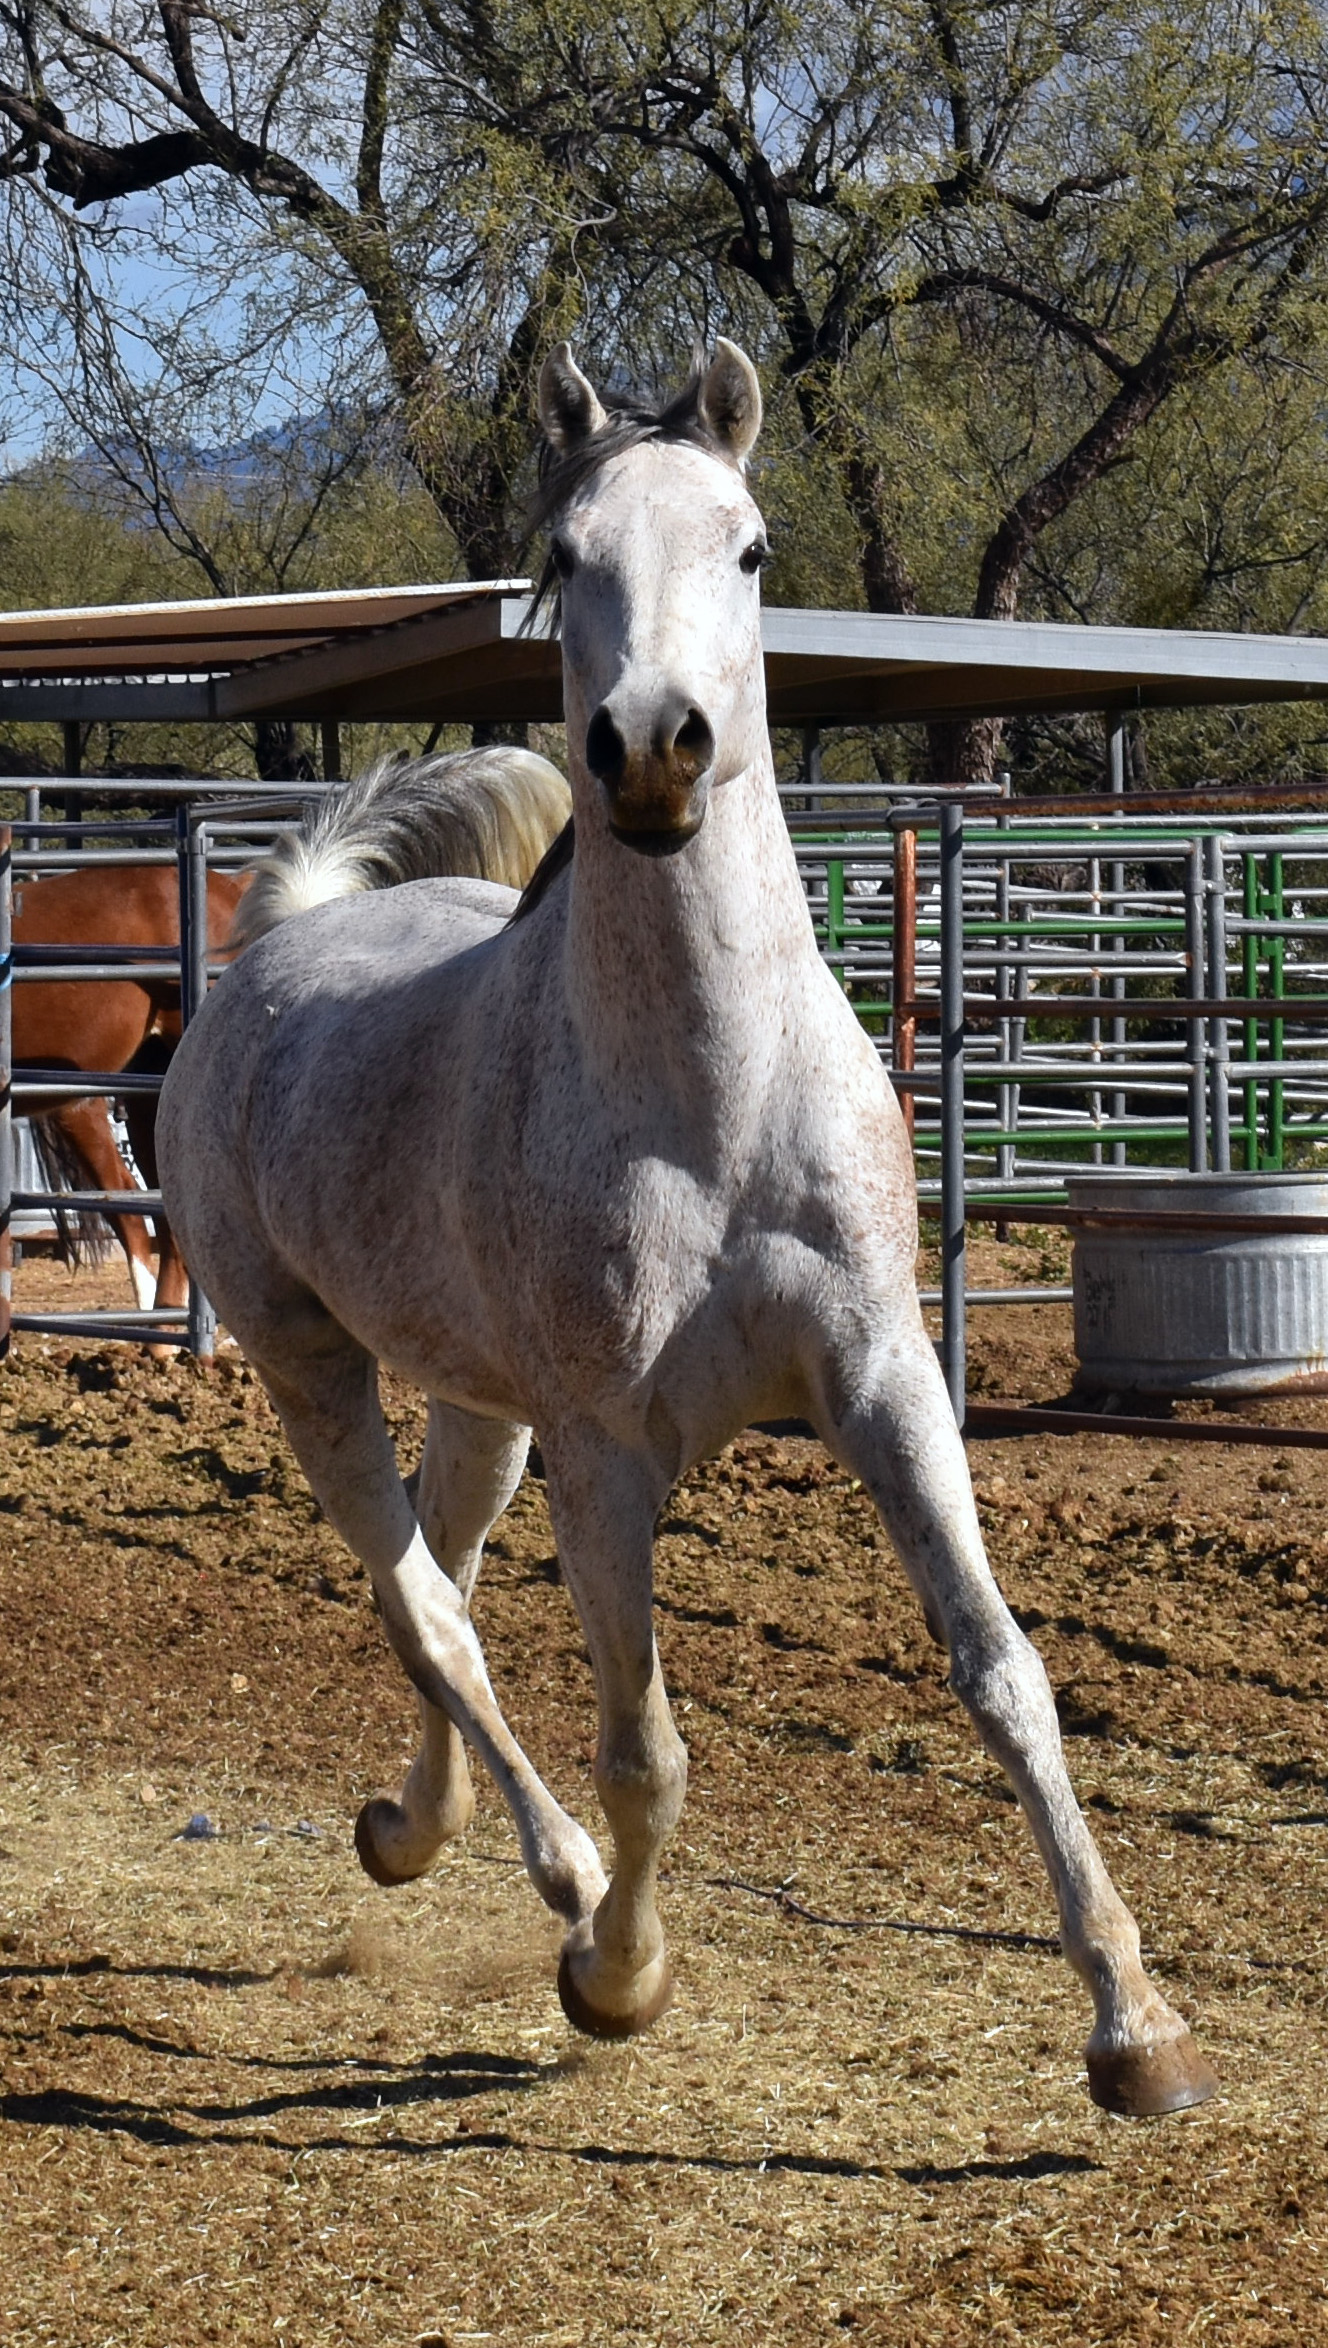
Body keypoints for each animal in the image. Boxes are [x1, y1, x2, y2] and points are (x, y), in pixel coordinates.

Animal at [158, 340, 1216, 2118]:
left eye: (753, 548)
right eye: (561, 557)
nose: (652, 746)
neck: (711, 1101)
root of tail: (281, 948)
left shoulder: (886, 1385)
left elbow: (1006, 1674)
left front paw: (1138, 2027)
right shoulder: (607, 1453)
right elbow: (644, 1747)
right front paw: (618, 1978)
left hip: (479, 1410)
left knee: (435, 1580)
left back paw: (412, 1829)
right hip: (317, 1374)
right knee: (430, 1609)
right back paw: (561, 1884)